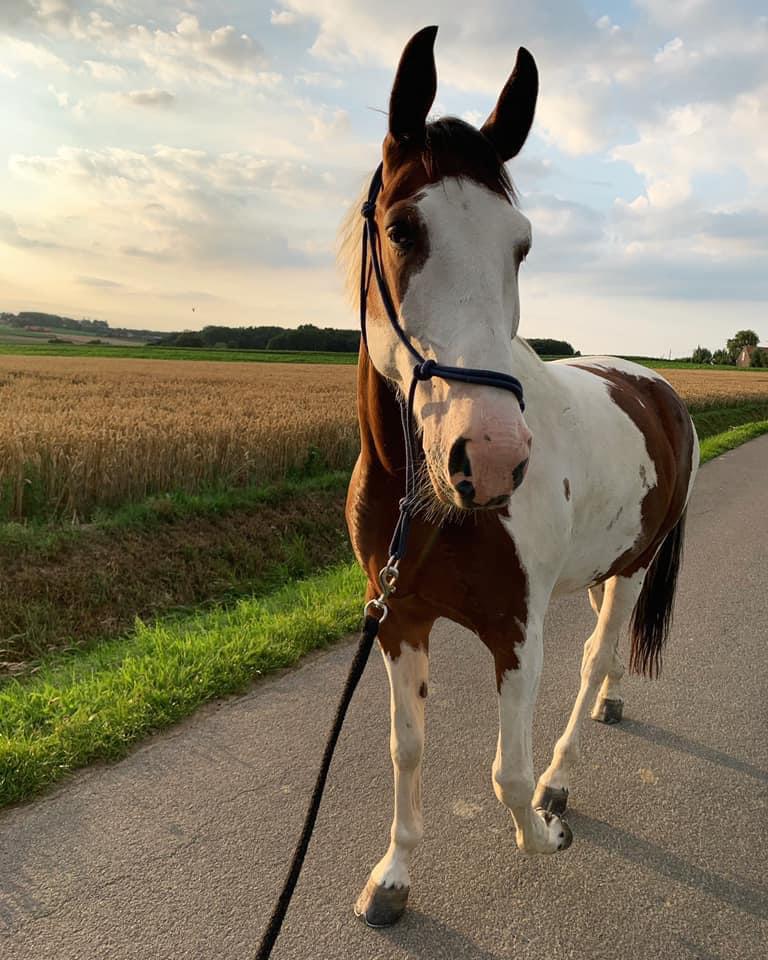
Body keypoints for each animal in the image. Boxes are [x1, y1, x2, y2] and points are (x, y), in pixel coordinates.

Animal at [340, 26, 699, 927]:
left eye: (522, 243)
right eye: (402, 228)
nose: (493, 457)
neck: (427, 505)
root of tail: (661, 388)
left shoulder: (517, 631)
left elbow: (506, 774)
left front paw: (542, 827)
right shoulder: (400, 619)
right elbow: (407, 748)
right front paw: (393, 876)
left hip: (636, 564)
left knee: (598, 658)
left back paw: (563, 776)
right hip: (608, 563)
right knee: (603, 643)